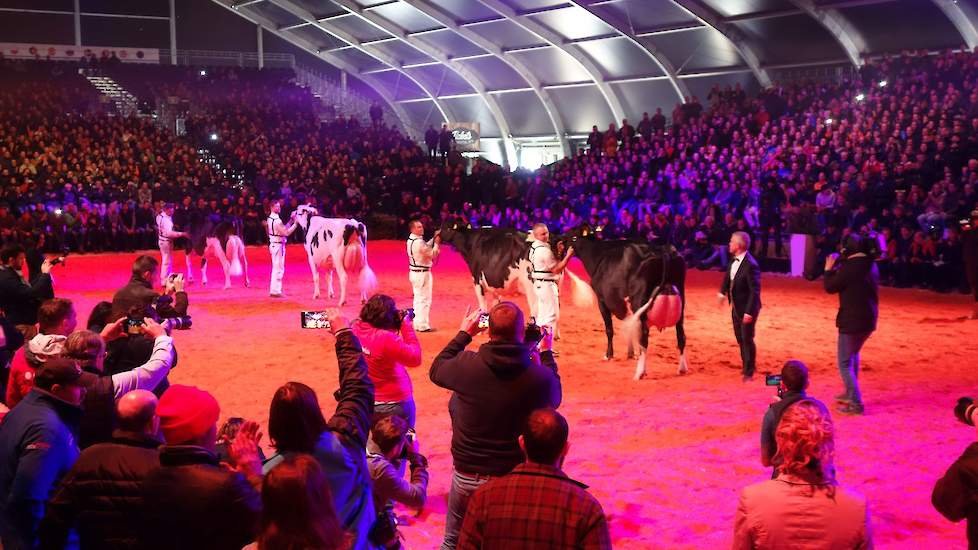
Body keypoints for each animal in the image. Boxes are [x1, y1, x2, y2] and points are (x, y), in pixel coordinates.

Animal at [556, 226, 688, 382]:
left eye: (574, 237)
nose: (560, 240)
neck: (599, 256)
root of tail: (662, 250)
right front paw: (631, 354)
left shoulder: (602, 300)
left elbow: (609, 329)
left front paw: (609, 355)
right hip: (680, 302)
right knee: (681, 336)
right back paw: (682, 369)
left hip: (640, 301)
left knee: (644, 338)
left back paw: (640, 373)